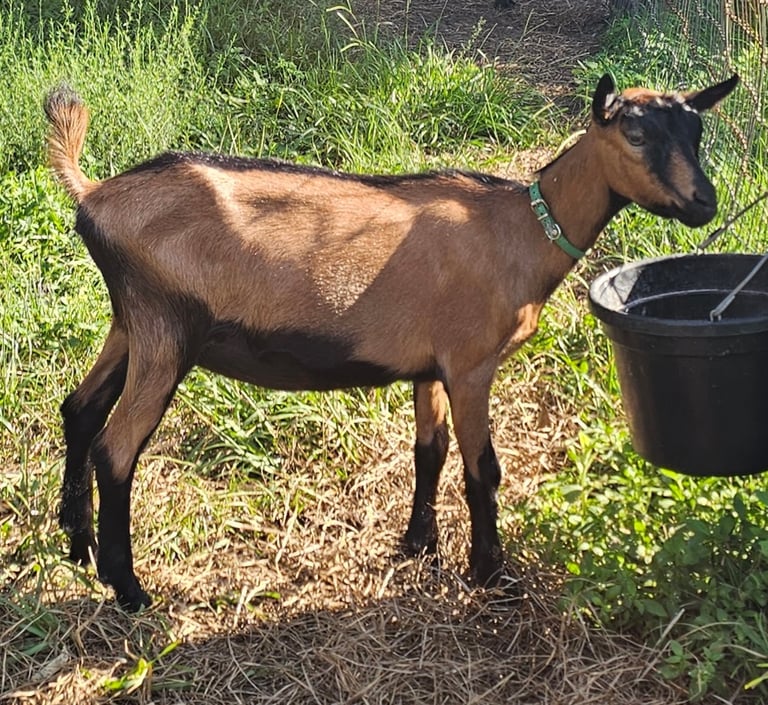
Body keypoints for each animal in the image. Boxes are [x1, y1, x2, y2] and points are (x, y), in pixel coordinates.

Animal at [44, 73, 738, 611]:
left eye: (696, 134)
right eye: (636, 135)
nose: (703, 203)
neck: (522, 231)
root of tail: (93, 195)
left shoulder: (429, 363)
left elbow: (429, 452)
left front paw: (419, 546)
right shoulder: (470, 362)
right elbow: (482, 469)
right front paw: (491, 575)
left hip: (130, 322)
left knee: (79, 409)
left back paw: (77, 542)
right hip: (166, 327)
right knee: (116, 449)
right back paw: (128, 587)